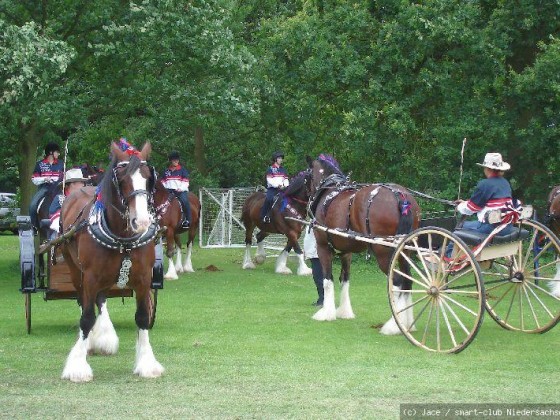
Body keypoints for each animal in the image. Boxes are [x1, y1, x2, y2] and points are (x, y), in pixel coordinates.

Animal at [59, 140, 164, 380]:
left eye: (148, 178)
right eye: (122, 179)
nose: (141, 221)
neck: (123, 239)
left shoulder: (144, 278)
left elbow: (143, 317)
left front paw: (146, 363)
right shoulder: (90, 276)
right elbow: (86, 317)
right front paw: (77, 366)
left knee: (101, 299)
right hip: (76, 270)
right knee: (84, 301)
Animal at [306, 153, 420, 332]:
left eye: (308, 175)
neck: (329, 191)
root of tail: (401, 197)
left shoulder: (323, 247)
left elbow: (327, 279)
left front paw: (326, 313)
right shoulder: (346, 252)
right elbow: (345, 279)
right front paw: (344, 311)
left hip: (383, 252)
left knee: (396, 282)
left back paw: (394, 325)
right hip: (404, 250)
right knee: (407, 280)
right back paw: (408, 323)